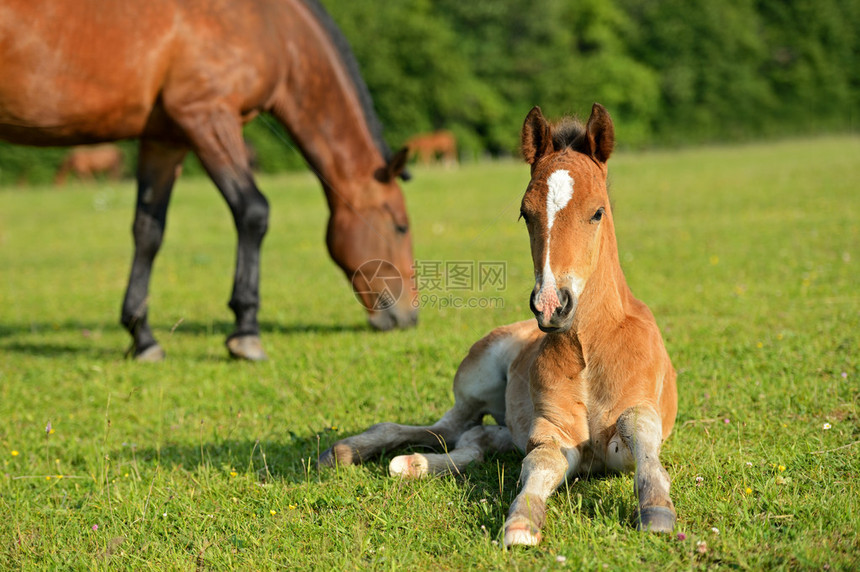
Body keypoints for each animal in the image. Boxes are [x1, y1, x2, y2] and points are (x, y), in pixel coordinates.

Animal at [0, 0, 416, 362]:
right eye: (400, 227)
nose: (410, 316)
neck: (276, 29)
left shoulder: (165, 138)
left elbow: (148, 231)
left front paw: (142, 337)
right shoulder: (206, 114)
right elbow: (253, 211)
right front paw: (245, 333)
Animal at [318, 103, 680, 544]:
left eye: (598, 212)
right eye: (525, 213)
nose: (550, 305)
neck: (590, 350)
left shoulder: (630, 426)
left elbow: (638, 433)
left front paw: (657, 509)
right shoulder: (550, 431)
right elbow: (540, 463)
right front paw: (521, 522)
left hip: (503, 422)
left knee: (477, 438)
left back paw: (412, 464)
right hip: (476, 382)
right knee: (447, 428)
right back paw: (353, 452)